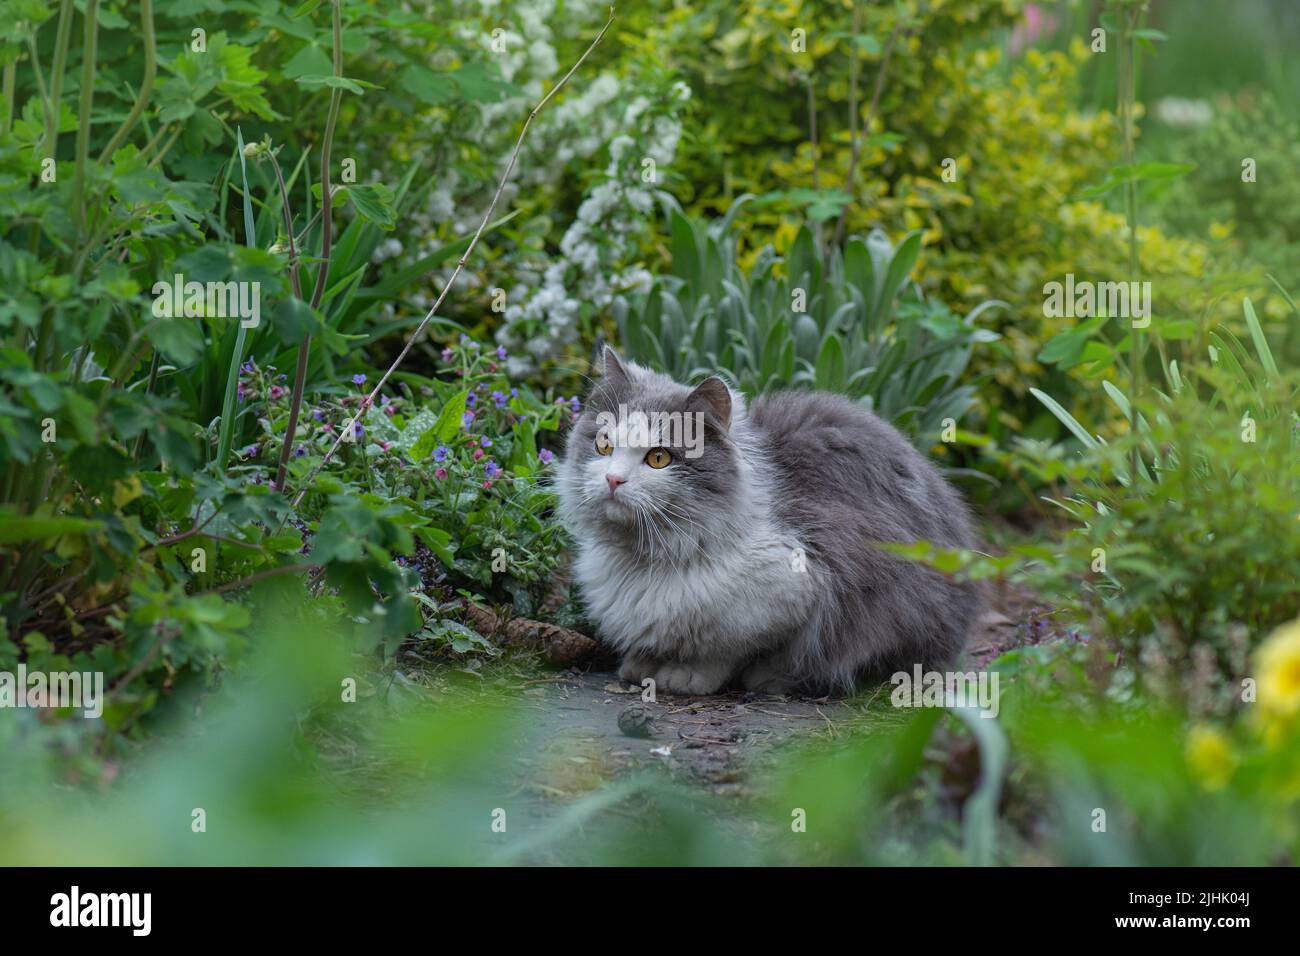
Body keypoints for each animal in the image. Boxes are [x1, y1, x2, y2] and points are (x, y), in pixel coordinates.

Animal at [553, 348, 977, 697]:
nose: (613, 480)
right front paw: (641, 665)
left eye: (659, 458)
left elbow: (726, 650)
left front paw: (685, 675)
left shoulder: (798, 584)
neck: (647, 556)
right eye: (604, 445)